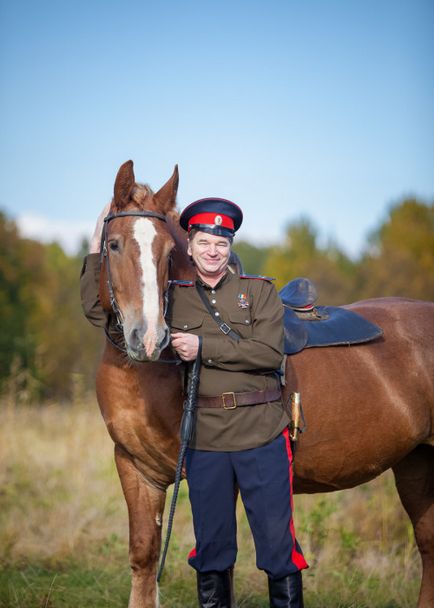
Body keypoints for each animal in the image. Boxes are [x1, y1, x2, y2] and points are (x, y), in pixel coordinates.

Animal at [94, 160, 434, 608]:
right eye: (115, 245)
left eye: (168, 253)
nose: (149, 337)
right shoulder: (135, 467)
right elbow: (145, 556)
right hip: (416, 460)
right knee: (429, 542)